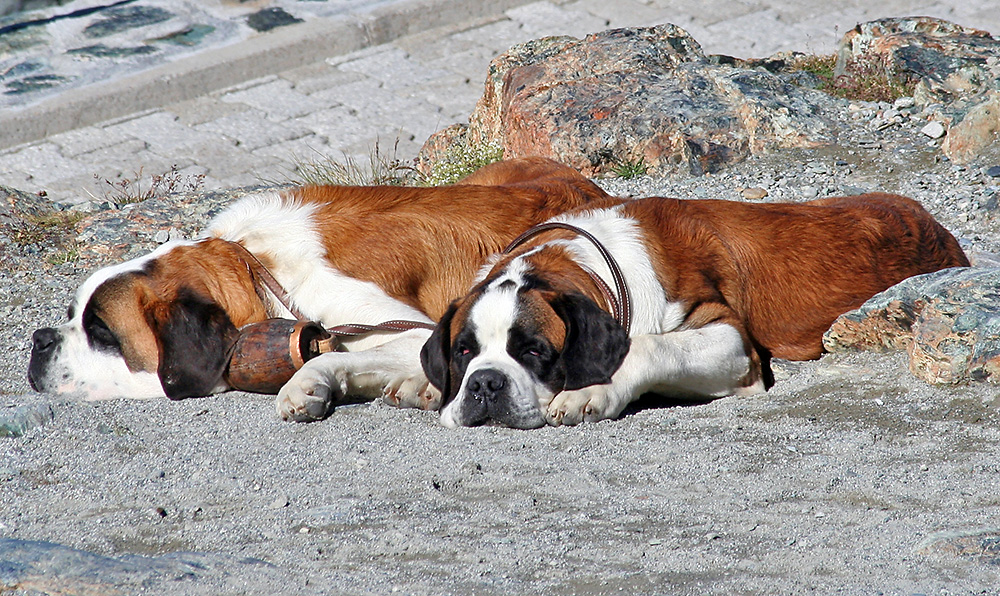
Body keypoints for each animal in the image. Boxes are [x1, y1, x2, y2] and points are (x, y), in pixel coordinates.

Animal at [27, 157, 608, 420]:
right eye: (73, 316)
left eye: (102, 331)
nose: (38, 340)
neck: (257, 265)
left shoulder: (408, 328)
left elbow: (331, 354)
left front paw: (307, 384)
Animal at [422, 192, 968, 428]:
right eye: (463, 352)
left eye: (535, 351)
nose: (485, 384)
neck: (598, 264)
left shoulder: (732, 341)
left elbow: (647, 346)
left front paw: (590, 391)